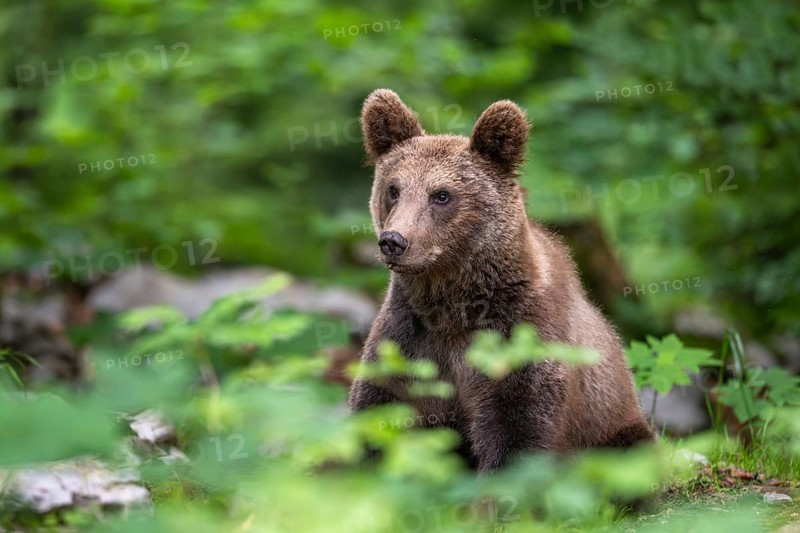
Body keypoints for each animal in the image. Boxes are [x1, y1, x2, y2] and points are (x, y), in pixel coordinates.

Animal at [348, 89, 654, 473]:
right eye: (393, 189)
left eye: (442, 194)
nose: (393, 241)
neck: (453, 301)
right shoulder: (409, 337)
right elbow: (379, 411)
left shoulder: (520, 336)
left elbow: (518, 430)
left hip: (615, 426)